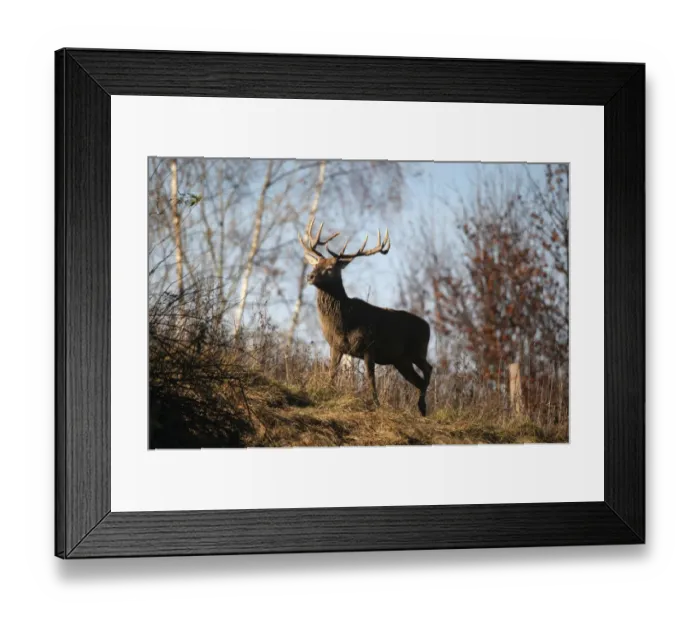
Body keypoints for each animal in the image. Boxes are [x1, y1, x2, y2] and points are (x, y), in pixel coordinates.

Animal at [298, 217, 433, 416]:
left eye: (330, 268)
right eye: (316, 264)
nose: (310, 276)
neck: (343, 323)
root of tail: (429, 327)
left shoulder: (370, 346)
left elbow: (371, 377)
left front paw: (376, 404)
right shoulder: (336, 346)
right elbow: (332, 371)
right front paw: (327, 390)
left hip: (417, 349)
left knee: (429, 369)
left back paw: (423, 406)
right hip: (401, 359)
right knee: (419, 379)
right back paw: (421, 410)